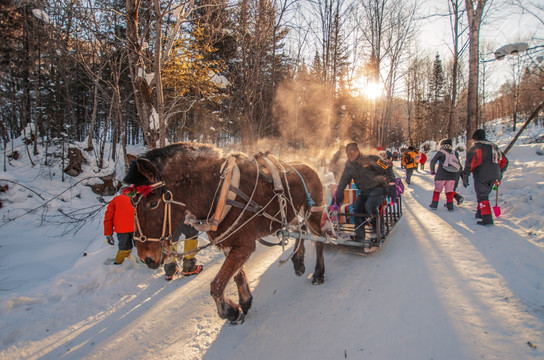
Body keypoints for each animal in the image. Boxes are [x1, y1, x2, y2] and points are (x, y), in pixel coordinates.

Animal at [124, 141, 328, 324]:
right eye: (132, 203)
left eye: (153, 203)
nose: (145, 257)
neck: (216, 192)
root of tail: (309, 165)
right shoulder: (229, 244)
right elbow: (236, 276)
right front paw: (244, 302)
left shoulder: (244, 245)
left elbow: (216, 285)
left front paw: (230, 312)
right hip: (291, 214)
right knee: (300, 231)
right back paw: (298, 261)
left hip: (314, 213)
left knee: (318, 240)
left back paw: (318, 273)